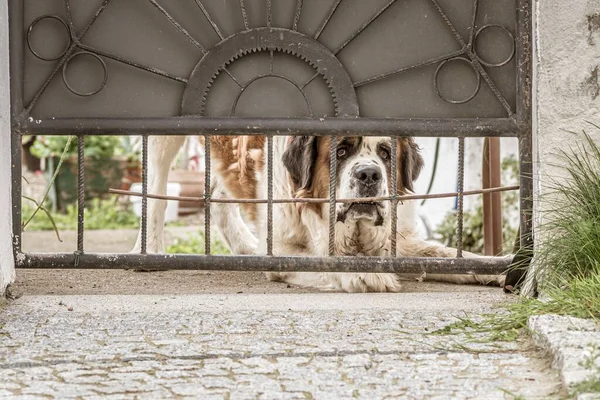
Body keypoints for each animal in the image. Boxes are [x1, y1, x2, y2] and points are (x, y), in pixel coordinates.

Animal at [132, 135, 506, 294]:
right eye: (340, 152)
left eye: (386, 154)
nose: (369, 175)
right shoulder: (285, 250)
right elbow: (321, 260)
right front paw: (363, 274)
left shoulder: (400, 243)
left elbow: (451, 256)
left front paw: (502, 268)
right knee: (155, 191)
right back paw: (146, 252)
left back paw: (246, 249)